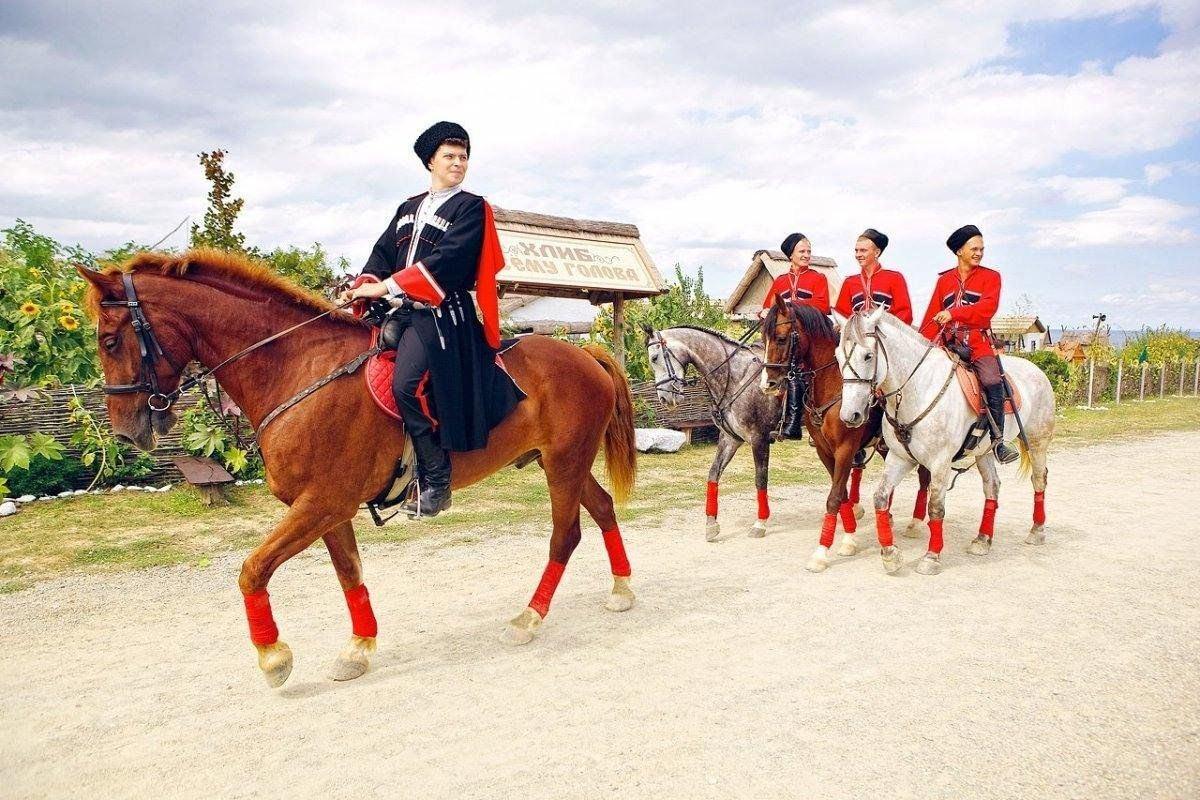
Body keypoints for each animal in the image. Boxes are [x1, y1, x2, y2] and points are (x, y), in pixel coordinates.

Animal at [77, 250, 638, 690]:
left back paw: (530, 617)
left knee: (565, 535)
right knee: (603, 509)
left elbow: (252, 569)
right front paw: (358, 648)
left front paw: (273, 658)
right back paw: (621, 590)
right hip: (563, 463)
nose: (125, 431)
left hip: (562, 464)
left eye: (109, 340)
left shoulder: (322, 503)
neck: (298, 369)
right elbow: (349, 573)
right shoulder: (326, 509)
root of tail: (584, 354)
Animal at [758, 297, 936, 573]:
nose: (767, 383)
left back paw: (916, 524)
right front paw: (850, 538)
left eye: (780, 338)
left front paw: (823, 553)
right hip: (885, 447)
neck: (834, 385)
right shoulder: (825, 451)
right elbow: (840, 494)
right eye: (762, 338)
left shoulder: (845, 449)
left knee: (924, 478)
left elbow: (834, 497)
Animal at [835, 304, 1051, 575]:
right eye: (837, 356)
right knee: (992, 486)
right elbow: (881, 498)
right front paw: (890, 554)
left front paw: (931, 557)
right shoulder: (899, 458)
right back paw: (982, 539)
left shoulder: (939, 463)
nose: (849, 415)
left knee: (1038, 480)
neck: (917, 389)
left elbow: (936, 507)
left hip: (1037, 441)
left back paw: (1037, 530)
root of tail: (1037, 370)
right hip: (984, 451)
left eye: (867, 356)